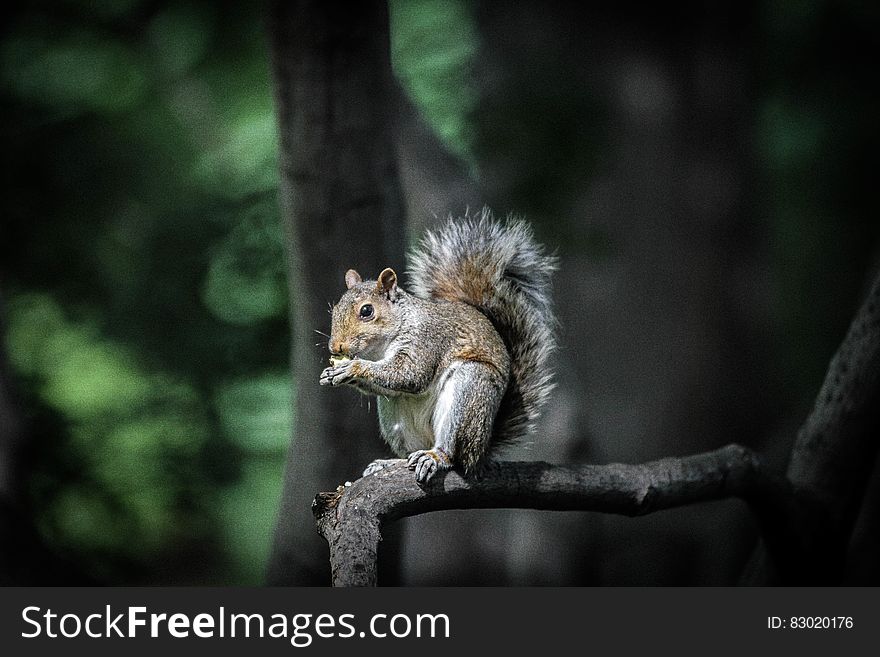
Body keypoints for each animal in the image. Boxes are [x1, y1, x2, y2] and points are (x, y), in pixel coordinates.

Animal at [320, 209, 556, 482]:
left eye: (366, 311)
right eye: (335, 308)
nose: (336, 348)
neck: (381, 347)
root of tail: (481, 452)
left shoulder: (427, 339)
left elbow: (410, 374)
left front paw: (353, 367)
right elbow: (390, 386)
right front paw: (331, 373)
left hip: (469, 394)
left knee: (454, 454)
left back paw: (436, 456)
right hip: (394, 418)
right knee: (408, 449)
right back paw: (390, 464)